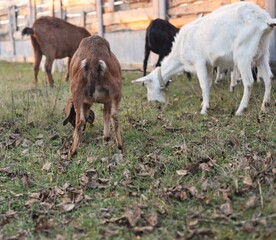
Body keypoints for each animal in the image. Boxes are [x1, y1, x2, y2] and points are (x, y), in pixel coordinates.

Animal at [133, 2, 274, 116]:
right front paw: (204, 104)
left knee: (249, 82)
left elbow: (204, 84)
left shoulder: (199, 62)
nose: (151, 102)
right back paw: (264, 108)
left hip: (243, 53)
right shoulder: (209, 64)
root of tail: (265, 19)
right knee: (269, 78)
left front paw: (204, 110)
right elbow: (209, 82)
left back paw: (241, 110)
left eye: (148, 85)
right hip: (262, 52)